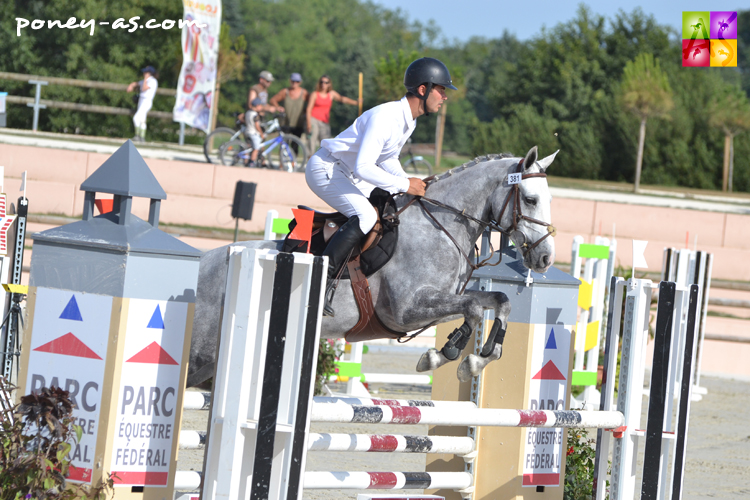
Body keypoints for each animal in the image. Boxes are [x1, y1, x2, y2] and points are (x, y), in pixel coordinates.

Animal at [188, 146, 560, 386]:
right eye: (530, 199)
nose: (545, 259)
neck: (440, 224)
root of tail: (202, 262)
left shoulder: (438, 303)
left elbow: (499, 301)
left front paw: (478, 357)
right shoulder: (406, 310)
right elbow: (472, 308)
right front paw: (449, 354)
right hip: (201, 350)